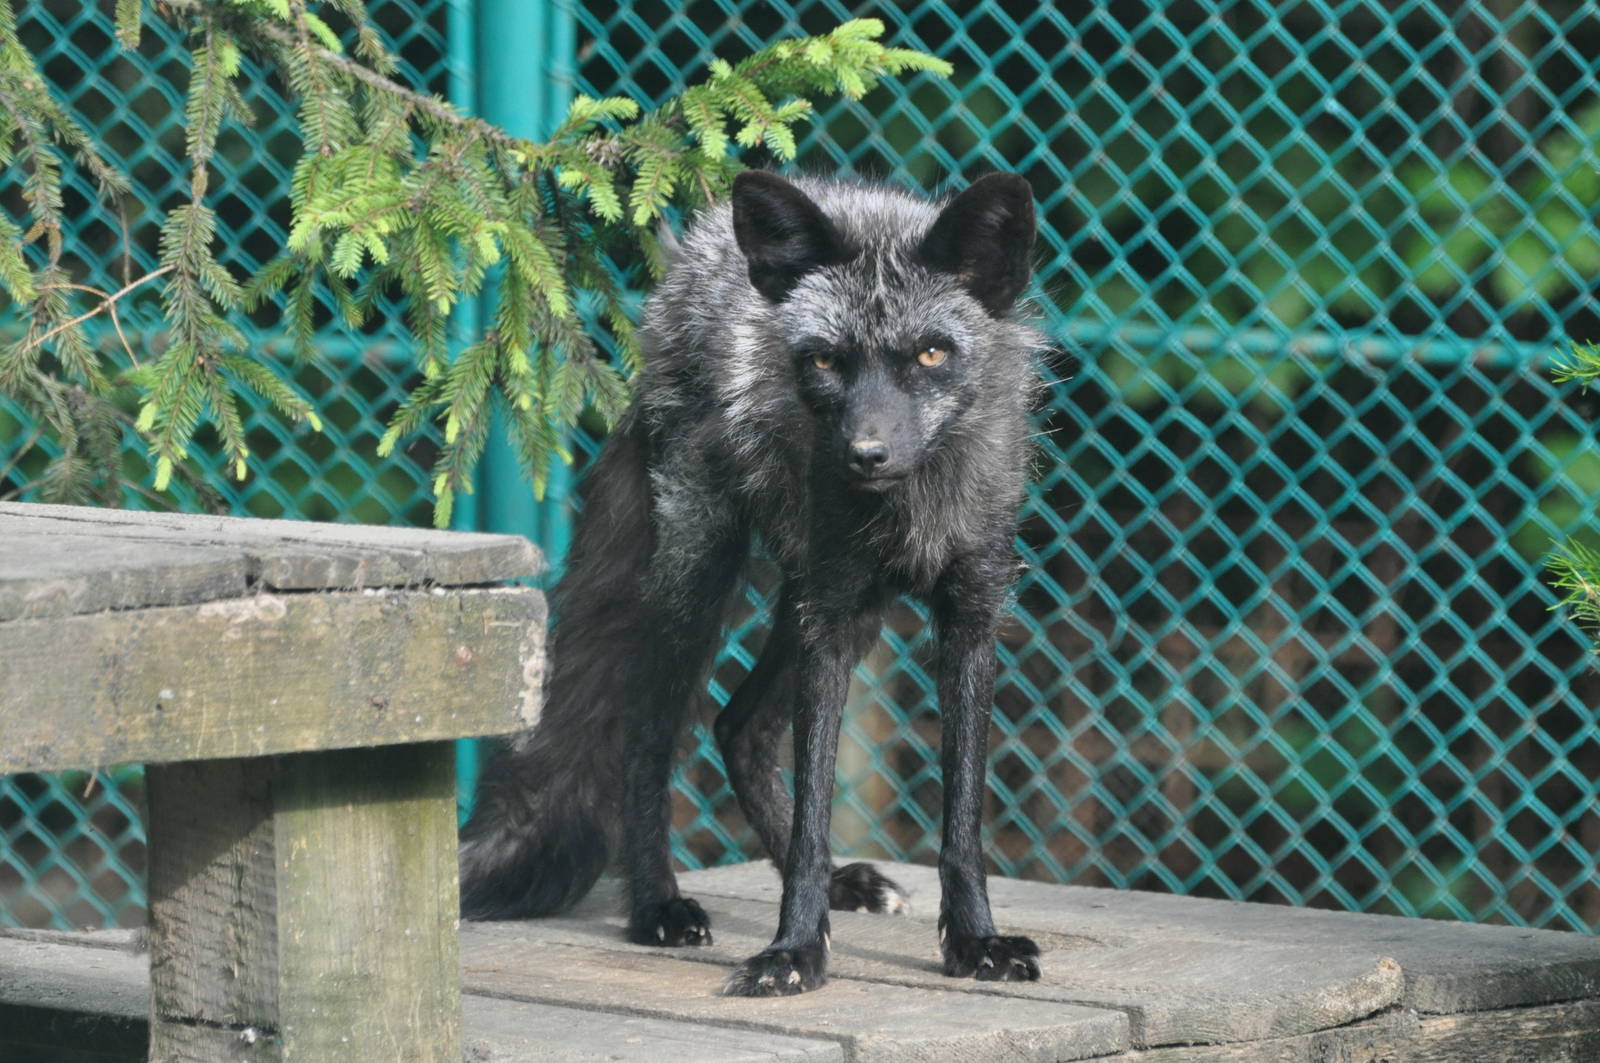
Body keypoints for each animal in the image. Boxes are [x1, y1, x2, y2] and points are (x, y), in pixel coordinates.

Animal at [459, 169, 1045, 995]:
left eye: (932, 354)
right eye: (826, 361)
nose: (866, 454)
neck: (911, 507)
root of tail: (691, 262)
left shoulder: (969, 611)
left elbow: (962, 820)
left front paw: (974, 941)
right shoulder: (829, 614)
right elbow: (810, 816)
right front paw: (795, 949)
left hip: (835, 607)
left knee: (738, 725)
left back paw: (840, 882)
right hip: (701, 579)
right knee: (649, 739)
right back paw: (658, 905)